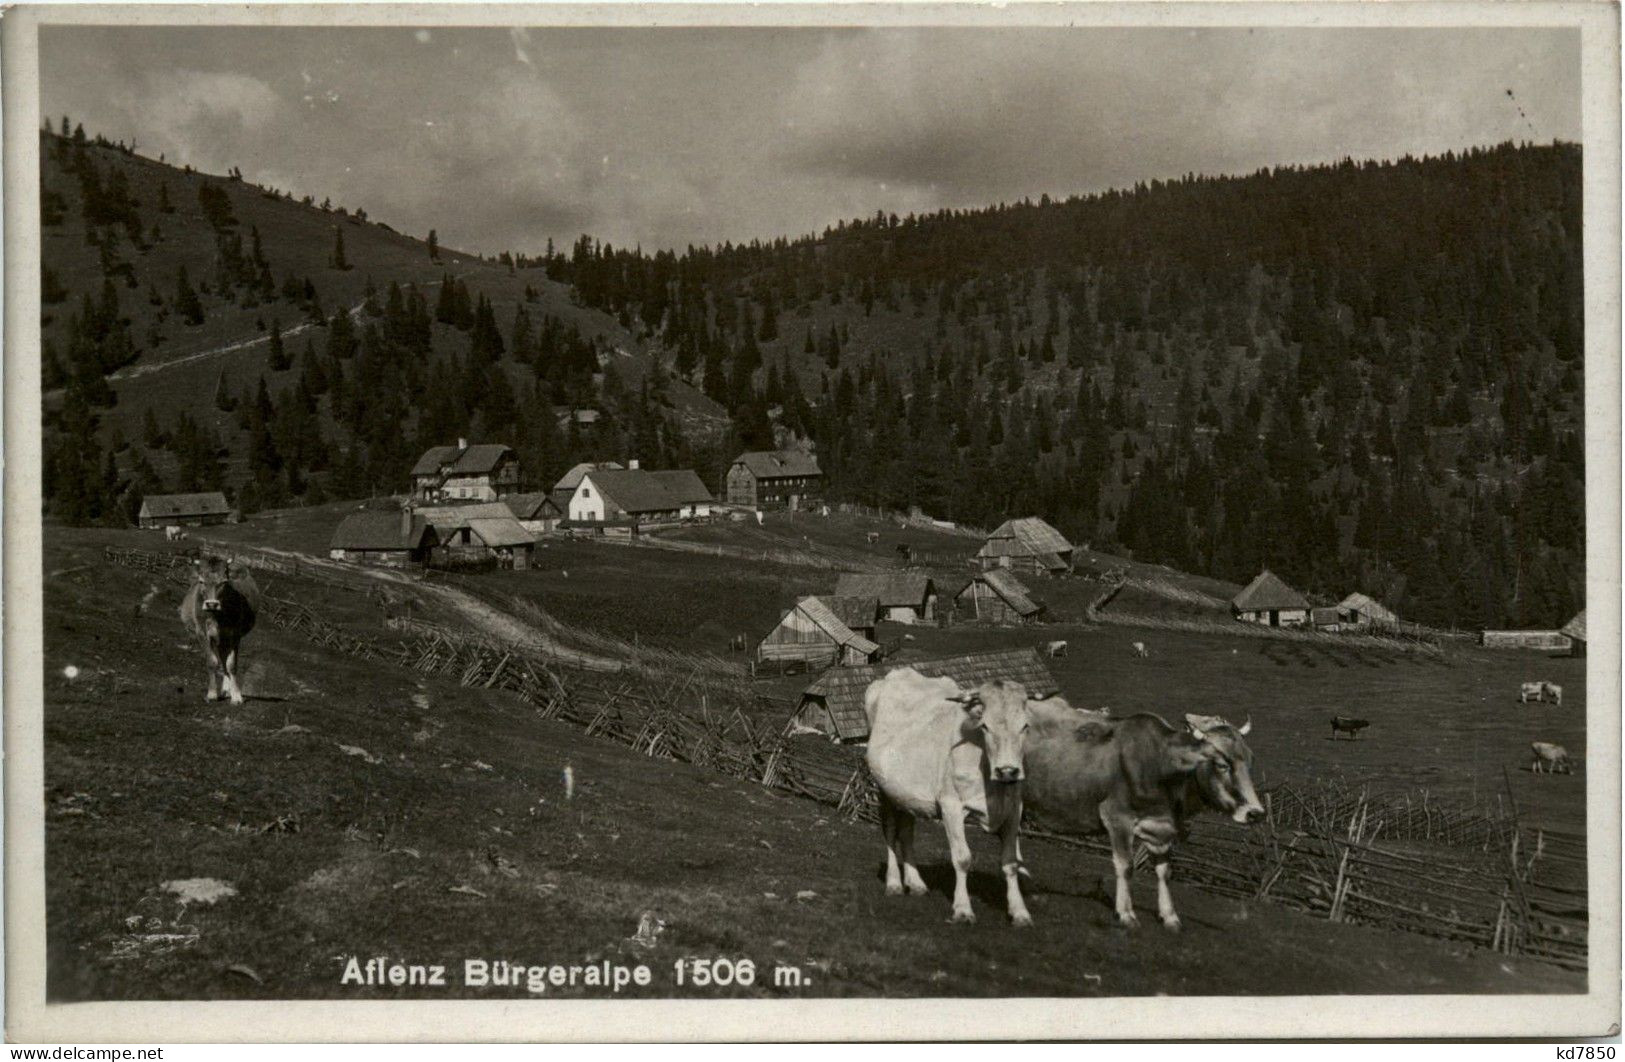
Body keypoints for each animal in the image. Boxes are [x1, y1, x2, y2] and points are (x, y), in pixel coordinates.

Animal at [178, 558, 258, 708]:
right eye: (201, 581)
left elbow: (231, 664)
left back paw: (227, 690)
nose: (211, 604)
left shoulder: (235, 635)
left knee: (224, 662)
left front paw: (236, 696)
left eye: (224, 582)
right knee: (220, 660)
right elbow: (212, 662)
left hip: (224, 640)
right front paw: (212, 693)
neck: (216, 616)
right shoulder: (202, 633)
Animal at [871, 675, 1033, 935]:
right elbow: (962, 858)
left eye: (1025, 726)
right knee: (890, 831)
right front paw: (962, 909)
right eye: (985, 726)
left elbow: (1011, 863)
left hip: (907, 794)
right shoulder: (951, 805)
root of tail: (897, 673)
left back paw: (915, 883)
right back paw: (894, 882)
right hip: (885, 789)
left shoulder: (1013, 809)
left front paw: (1019, 912)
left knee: (906, 832)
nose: (1007, 771)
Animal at [1020, 708, 1261, 935]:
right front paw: (1126, 914)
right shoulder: (1117, 817)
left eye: (1250, 760)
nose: (1256, 813)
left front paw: (1170, 917)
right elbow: (1126, 866)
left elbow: (1165, 872)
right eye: (1222, 764)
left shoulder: (1160, 829)